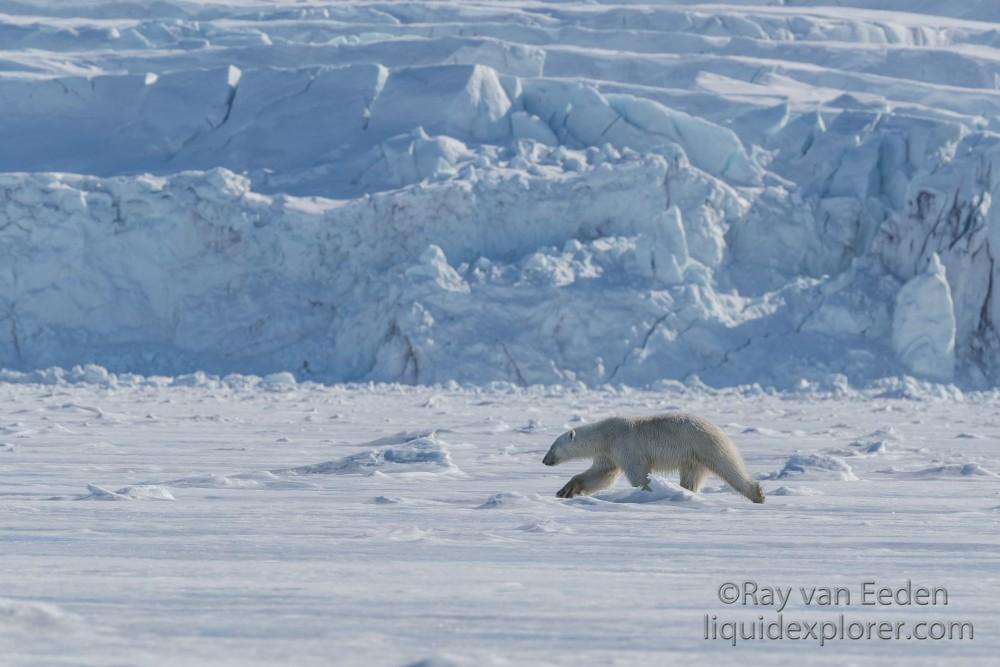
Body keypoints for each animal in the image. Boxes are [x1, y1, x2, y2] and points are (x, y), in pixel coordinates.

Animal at [544, 414, 760, 504]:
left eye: (552, 447)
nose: (544, 461)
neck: (605, 434)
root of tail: (719, 430)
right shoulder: (609, 453)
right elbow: (601, 475)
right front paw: (566, 490)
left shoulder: (626, 446)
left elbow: (638, 474)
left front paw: (646, 493)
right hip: (693, 459)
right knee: (691, 477)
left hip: (705, 445)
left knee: (728, 467)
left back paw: (757, 494)